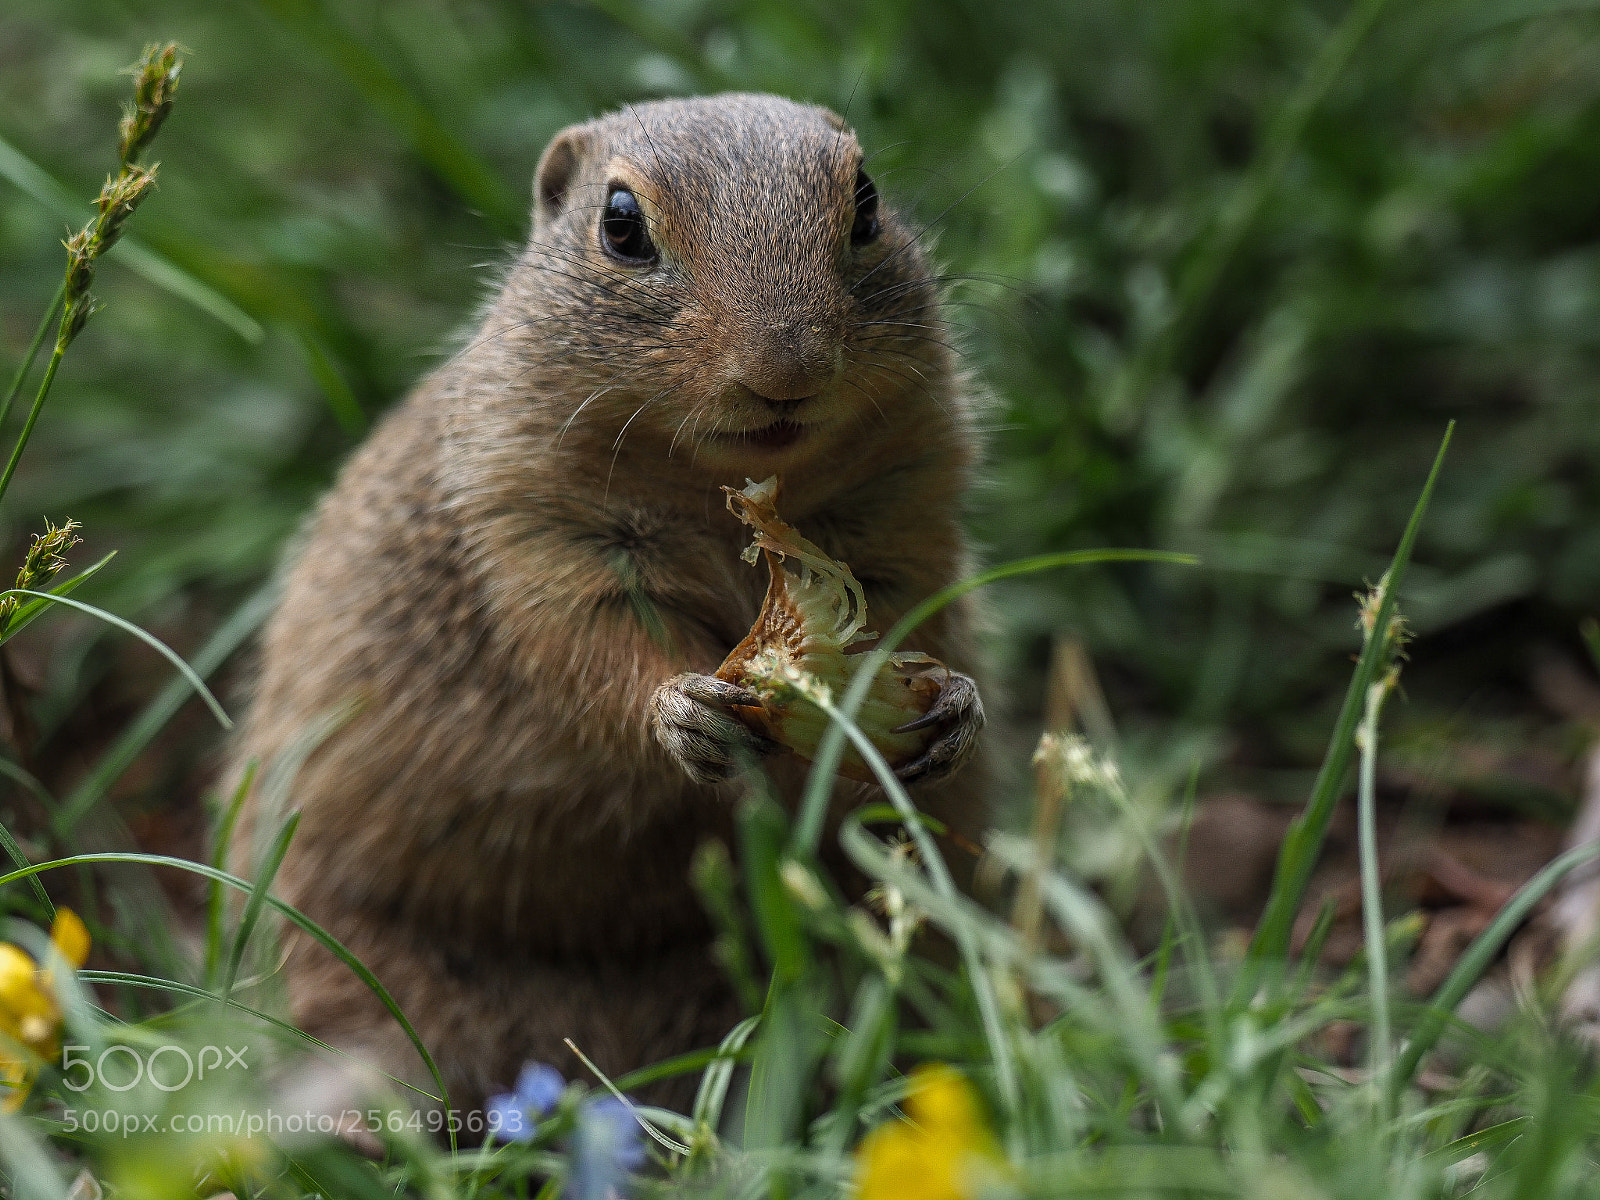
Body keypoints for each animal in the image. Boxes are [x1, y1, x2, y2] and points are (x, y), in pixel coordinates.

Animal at [227, 93, 989, 1114]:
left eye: (865, 203)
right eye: (620, 225)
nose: (787, 370)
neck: (715, 487)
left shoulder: (908, 508)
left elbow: (911, 613)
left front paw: (953, 709)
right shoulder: (540, 534)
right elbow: (589, 655)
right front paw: (681, 712)